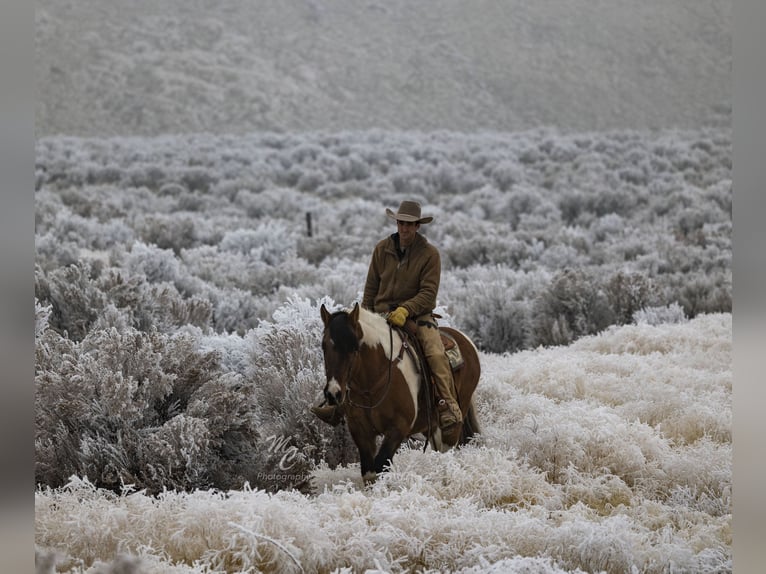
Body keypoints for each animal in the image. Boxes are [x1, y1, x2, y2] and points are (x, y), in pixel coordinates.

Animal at [320, 304, 484, 484]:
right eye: (324, 346)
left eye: (353, 347)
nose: (333, 393)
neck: (371, 384)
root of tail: (466, 340)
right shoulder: (360, 431)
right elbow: (370, 474)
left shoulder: (398, 428)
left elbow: (381, 465)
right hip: (431, 425)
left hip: (455, 418)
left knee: (447, 450)